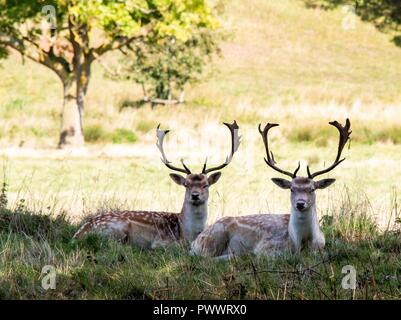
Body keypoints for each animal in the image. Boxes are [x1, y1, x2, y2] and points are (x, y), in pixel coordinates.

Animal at [72, 120, 239, 250]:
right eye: (186, 184)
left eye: (206, 184)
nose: (195, 195)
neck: (188, 232)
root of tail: (78, 234)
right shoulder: (161, 242)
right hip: (116, 228)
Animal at [191, 119, 350, 258]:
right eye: (291, 189)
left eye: (312, 189)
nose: (300, 203)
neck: (301, 244)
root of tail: (194, 242)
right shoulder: (265, 248)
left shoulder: (322, 246)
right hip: (214, 238)